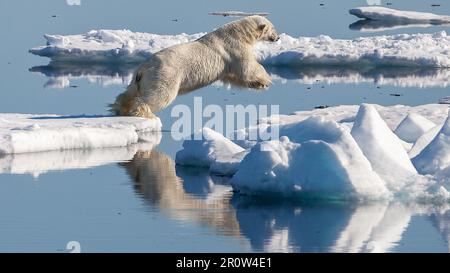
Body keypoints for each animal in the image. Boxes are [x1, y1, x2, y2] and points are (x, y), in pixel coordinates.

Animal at [109, 15, 278, 118]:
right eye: (273, 29)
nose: (277, 38)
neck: (239, 33)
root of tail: (142, 69)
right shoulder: (234, 48)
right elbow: (247, 68)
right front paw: (266, 80)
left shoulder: (228, 62)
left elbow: (233, 77)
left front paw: (259, 84)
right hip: (164, 74)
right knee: (159, 95)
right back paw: (143, 112)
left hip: (139, 78)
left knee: (130, 91)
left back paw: (119, 107)